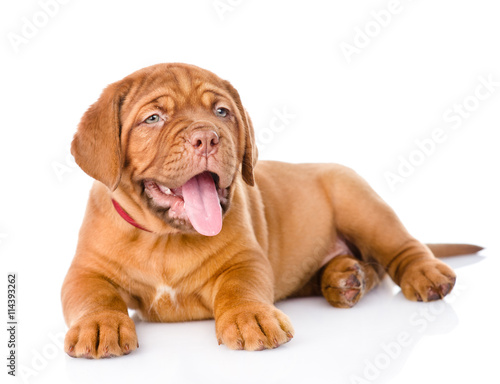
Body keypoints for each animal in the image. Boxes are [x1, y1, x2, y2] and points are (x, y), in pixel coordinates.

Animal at [60, 63, 482, 356]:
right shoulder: (86, 272)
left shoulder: (245, 260)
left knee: (401, 249)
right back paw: (346, 277)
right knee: (370, 268)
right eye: (153, 118)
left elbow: (240, 287)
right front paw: (100, 325)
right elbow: (94, 296)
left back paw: (421, 274)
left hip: (362, 205)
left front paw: (250, 317)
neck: (166, 238)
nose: (207, 137)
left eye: (222, 112)